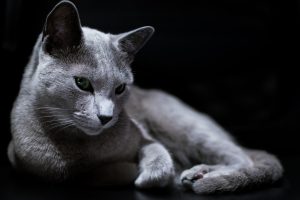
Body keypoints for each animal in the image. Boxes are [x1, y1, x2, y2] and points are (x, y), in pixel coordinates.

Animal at [7, 0, 284, 194]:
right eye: (82, 83)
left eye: (120, 88)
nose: (106, 117)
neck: (77, 147)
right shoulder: (17, 158)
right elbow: (84, 176)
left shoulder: (146, 138)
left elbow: (156, 159)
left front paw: (147, 173)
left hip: (184, 127)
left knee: (243, 159)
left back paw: (200, 175)